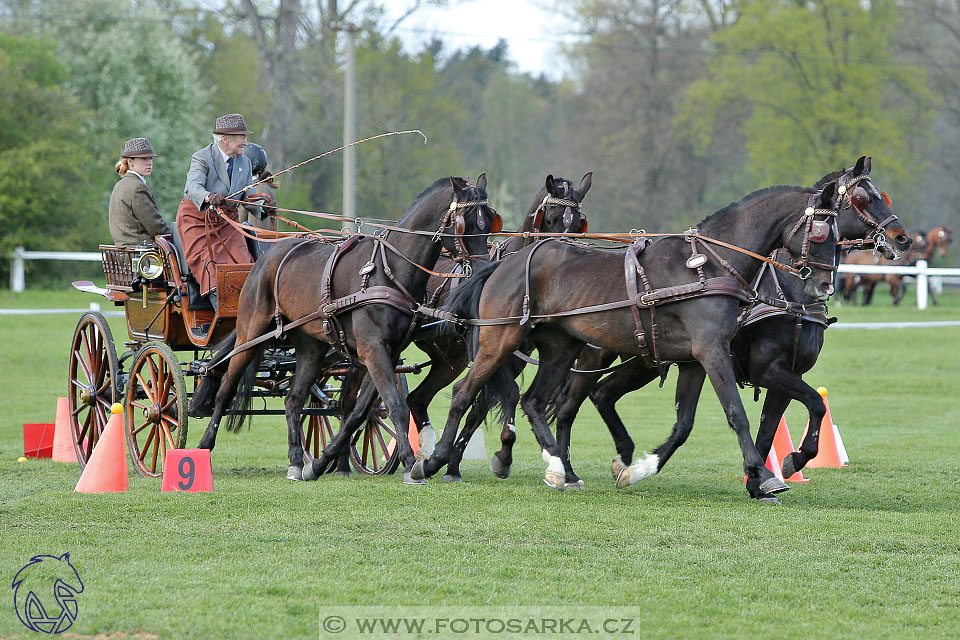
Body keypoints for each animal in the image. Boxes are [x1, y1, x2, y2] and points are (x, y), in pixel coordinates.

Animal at [191, 172, 498, 482]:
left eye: (488, 222)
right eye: (465, 223)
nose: (484, 271)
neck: (389, 270)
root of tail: (268, 256)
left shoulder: (388, 352)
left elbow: (358, 412)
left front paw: (321, 462)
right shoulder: (373, 349)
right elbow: (395, 406)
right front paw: (411, 464)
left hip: (312, 347)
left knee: (293, 399)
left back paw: (296, 462)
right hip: (250, 332)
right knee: (225, 387)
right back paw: (204, 446)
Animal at [412, 182, 840, 498]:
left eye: (838, 233)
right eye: (820, 232)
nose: (824, 284)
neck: (709, 265)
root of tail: (503, 263)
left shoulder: (693, 360)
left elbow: (685, 424)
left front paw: (639, 469)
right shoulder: (713, 351)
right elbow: (737, 413)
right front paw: (763, 475)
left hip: (560, 349)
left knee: (534, 401)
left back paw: (558, 468)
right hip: (501, 340)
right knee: (467, 393)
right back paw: (432, 462)